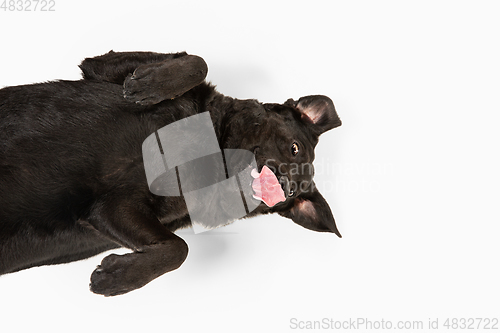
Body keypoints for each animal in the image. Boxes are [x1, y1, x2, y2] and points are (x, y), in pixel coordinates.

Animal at [0, 50, 340, 294]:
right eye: (294, 148)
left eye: (293, 192)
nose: (282, 186)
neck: (212, 153)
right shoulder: (102, 65)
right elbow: (197, 62)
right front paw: (149, 85)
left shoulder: (113, 208)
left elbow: (180, 248)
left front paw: (118, 277)